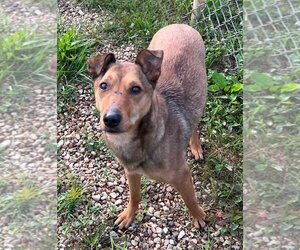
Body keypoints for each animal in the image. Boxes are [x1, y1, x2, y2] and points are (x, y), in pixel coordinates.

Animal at [88, 24, 207, 229]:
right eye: (103, 85)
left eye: (136, 89)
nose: (110, 119)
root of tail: (180, 25)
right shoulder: (131, 172)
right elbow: (134, 196)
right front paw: (129, 215)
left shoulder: (182, 175)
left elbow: (190, 200)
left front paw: (198, 217)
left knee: (195, 121)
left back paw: (195, 146)